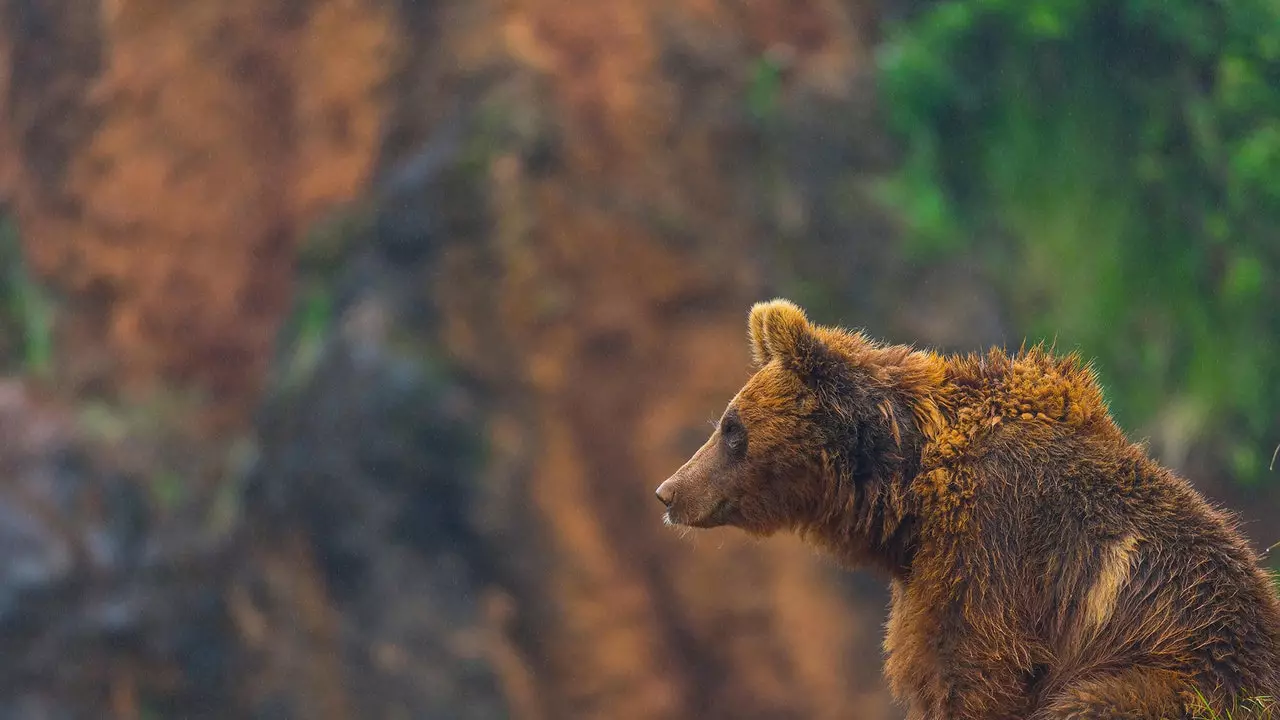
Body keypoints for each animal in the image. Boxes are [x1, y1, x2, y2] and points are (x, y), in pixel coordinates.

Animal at [655, 297, 1280, 717]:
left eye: (731, 429)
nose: (668, 491)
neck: (911, 490)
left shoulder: (991, 545)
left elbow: (969, 667)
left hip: (1181, 671)